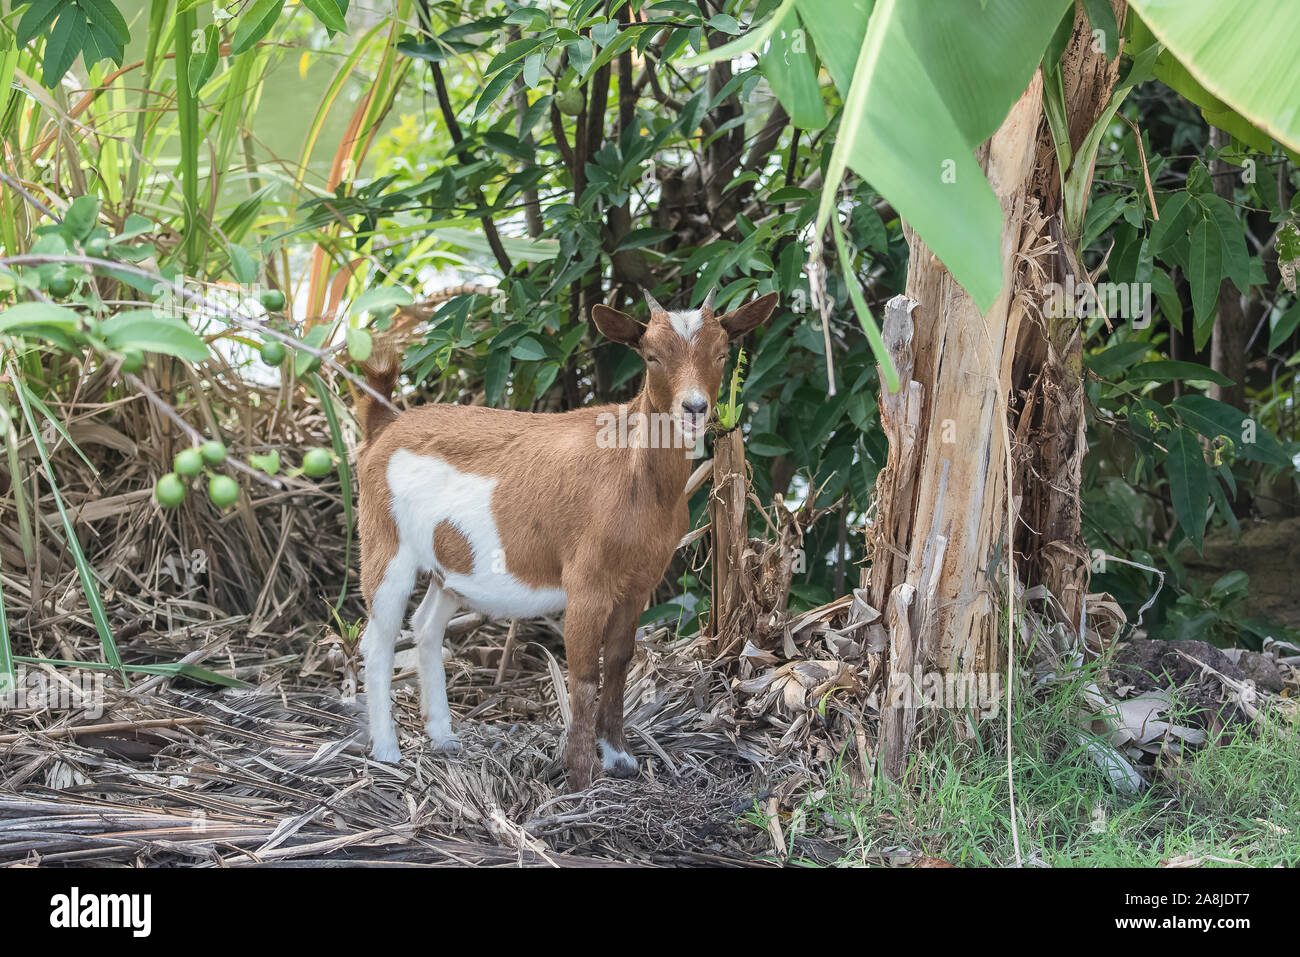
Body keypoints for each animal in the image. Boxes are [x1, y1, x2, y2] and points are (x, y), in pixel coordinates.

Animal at [355, 289, 779, 787]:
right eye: (651, 356)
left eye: (722, 353)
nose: (694, 408)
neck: (631, 467)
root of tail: (385, 425)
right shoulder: (587, 581)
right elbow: (583, 673)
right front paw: (581, 772)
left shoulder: (639, 582)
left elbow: (618, 663)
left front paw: (619, 756)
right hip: (385, 542)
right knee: (378, 637)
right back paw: (386, 751)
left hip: (451, 565)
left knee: (426, 626)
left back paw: (442, 736)